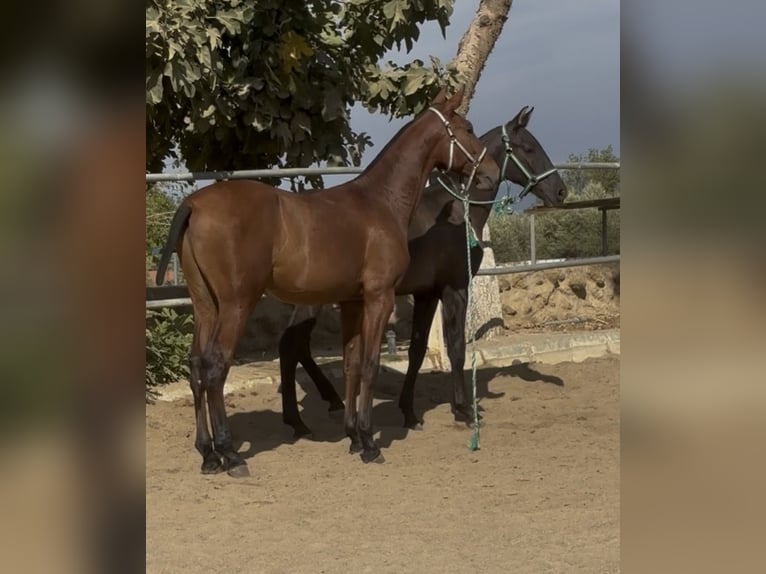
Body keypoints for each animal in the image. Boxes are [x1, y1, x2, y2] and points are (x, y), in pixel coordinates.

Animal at [154, 87, 499, 476]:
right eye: (468, 129)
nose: (491, 172)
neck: (380, 202)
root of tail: (195, 205)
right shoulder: (380, 298)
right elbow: (370, 364)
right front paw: (370, 444)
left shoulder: (352, 302)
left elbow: (351, 364)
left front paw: (354, 437)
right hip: (236, 305)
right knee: (215, 368)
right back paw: (230, 454)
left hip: (206, 306)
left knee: (197, 366)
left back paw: (208, 454)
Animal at [277, 105, 568, 437]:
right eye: (529, 148)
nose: (560, 191)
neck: (457, 212)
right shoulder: (454, 288)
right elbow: (457, 349)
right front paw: (463, 409)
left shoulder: (427, 293)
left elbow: (417, 351)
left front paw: (409, 413)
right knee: (291, 346)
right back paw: (300, 420)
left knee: (296, 347)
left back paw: (322, 408)